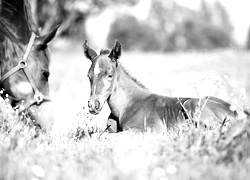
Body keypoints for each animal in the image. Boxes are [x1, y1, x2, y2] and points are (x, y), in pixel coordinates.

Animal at [83, 39, 245, 132]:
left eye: (110, 75)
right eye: (89, 76)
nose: (93, 104)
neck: (126, 106)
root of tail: (239, 111)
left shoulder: (148, 130)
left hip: (192, 104)